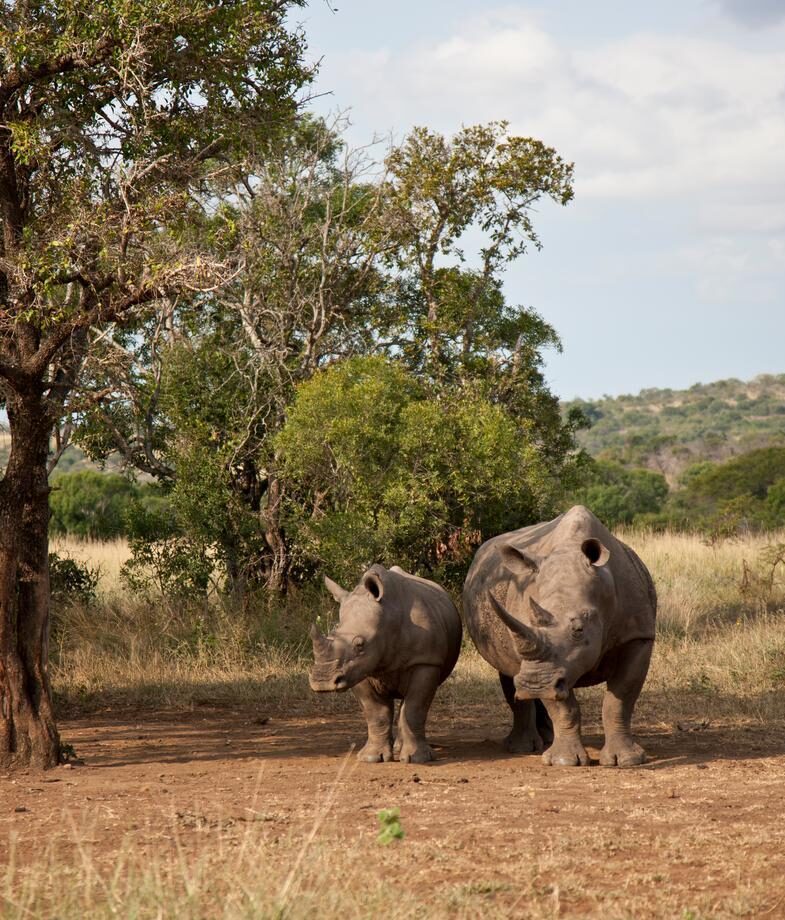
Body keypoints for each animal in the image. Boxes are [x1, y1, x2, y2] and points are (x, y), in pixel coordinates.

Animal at [309, 564, 462, 764]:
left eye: (360, 645)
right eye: (331, 635)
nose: (323, 682)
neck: (387, 618)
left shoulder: (426, 661)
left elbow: (414, 708)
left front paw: (417, 759)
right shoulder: (357, 670)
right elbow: (375, 713)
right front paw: (371, 758)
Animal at [463, 506, 656, 767]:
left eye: (579, 630)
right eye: (529, 621)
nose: (534, 684)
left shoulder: (638, 636)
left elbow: (620, 699)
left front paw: (627, 760)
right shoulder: (547, 666)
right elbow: (563, 707)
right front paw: (564, 761)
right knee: (509, 670)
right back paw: (523, 747)